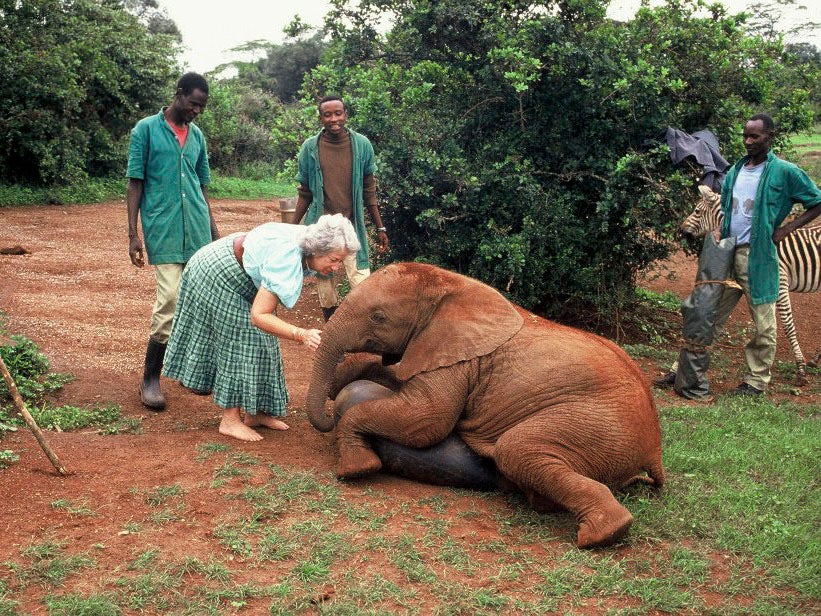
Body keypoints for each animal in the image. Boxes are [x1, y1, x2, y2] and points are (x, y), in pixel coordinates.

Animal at [304, 262, 664, 548]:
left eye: (378, 317)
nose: (325, 416)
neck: (449, 284)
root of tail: (655, 448)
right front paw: (342, 381)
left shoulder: (459, 359)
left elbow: (425, 420)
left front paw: (356, 470)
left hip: (598, 425)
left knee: (517, 449)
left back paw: (602, 535)